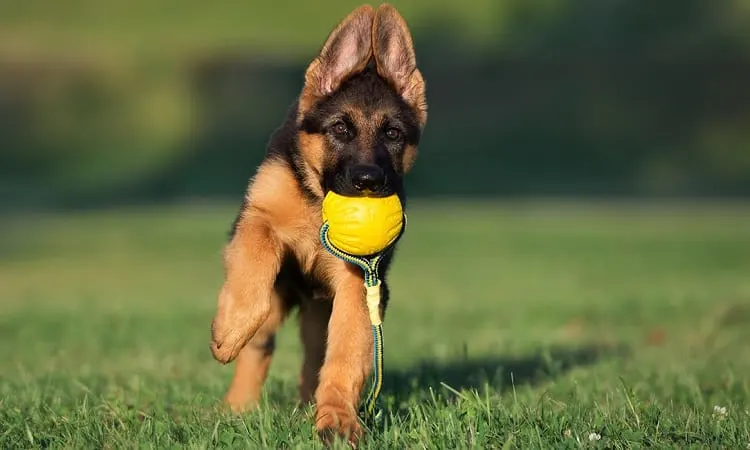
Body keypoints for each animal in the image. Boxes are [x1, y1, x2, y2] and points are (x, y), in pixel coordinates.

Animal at [209, 3, 428, 444]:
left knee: (316, 356)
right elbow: (255, 266)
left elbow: (345, 355)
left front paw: (337, 420)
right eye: (340, 129)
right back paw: (236, 406)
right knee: (260, 345)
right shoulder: (256, 218)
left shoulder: (360, 282)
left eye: (393, 134)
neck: (317, 201)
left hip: (321, 310)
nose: (367, 181)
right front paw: (230, 328)